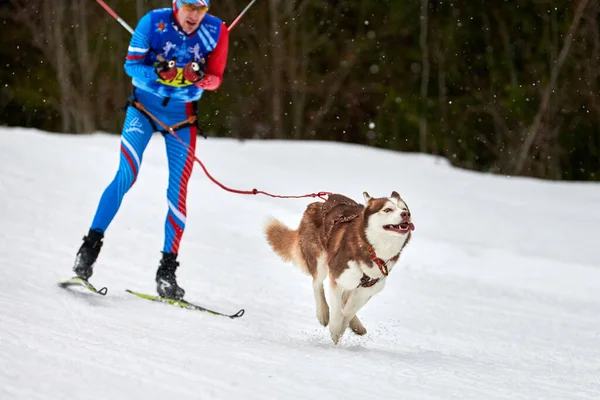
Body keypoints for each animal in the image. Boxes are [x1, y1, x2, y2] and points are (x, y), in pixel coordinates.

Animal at [264, 191, 414, 344]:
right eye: (387, 209)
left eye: (404, 208)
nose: (406, 214)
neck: (373, 250)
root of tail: (317, 203)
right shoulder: (337, 277)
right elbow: (337, 307)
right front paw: (336, 328)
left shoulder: (368, 289)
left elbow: (348, 310)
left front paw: (344, 325)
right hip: (320, 259)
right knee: (317, 283)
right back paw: (323, 313)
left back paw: (356, 324)